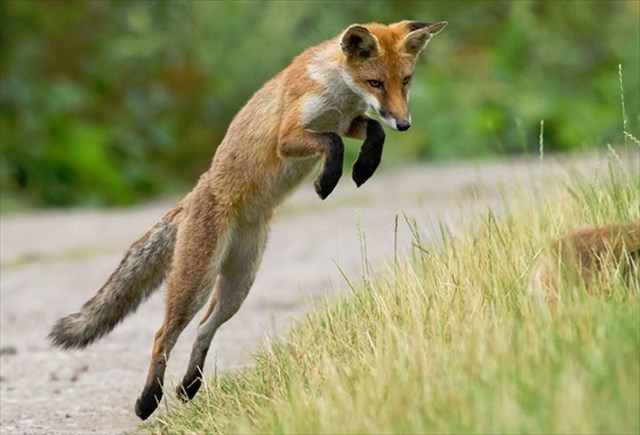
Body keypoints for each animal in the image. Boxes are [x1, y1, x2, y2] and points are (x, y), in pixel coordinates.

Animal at [48, 20, 448, 420]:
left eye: (406, 81)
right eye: (376, 83)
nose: (405, 123)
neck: (337, 90)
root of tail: (195, 193)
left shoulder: (349, 121)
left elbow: (372, 132)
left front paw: (364, 167)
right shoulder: (289, 136)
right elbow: (332, 144)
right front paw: (327, 181)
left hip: (239, 284)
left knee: (204, 328)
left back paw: (189, 387)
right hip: (197, 281)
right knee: (164, 334)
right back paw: (149, 399)